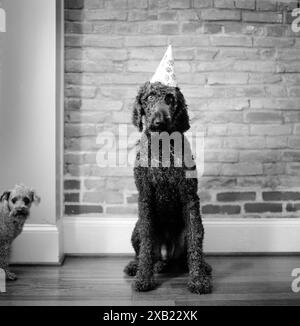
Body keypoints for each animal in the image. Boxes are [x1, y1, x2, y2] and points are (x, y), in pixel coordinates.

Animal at [124, 45, 213, 292]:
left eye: (170, 98)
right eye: (149, 97)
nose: (158, 121)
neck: (162, 148)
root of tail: (168, 255)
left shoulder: (190, 197)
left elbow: (194, 243)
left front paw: (198, 279)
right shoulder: (145, 197)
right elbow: (146, 246)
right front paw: (143, 278)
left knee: (187, 252)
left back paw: (202, 267)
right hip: (136, 228)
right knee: (147, 253)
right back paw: (138, 266)